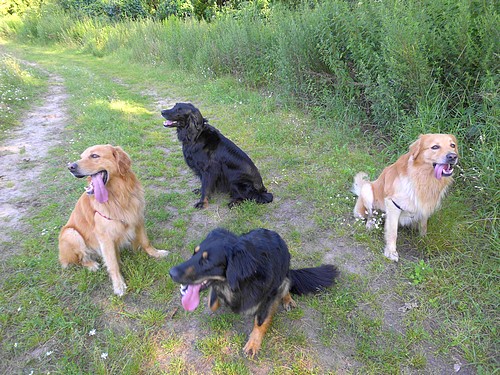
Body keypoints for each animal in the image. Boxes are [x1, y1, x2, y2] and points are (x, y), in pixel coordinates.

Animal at [169, 228, 340, 356]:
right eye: (194, 252)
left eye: (207, 261)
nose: (171, 272)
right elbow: (213, 302)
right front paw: (215, 298)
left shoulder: (269, 296)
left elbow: (260, 321)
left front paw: (253, 344)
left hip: (284, 275)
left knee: (287, 285)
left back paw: (287, 299)